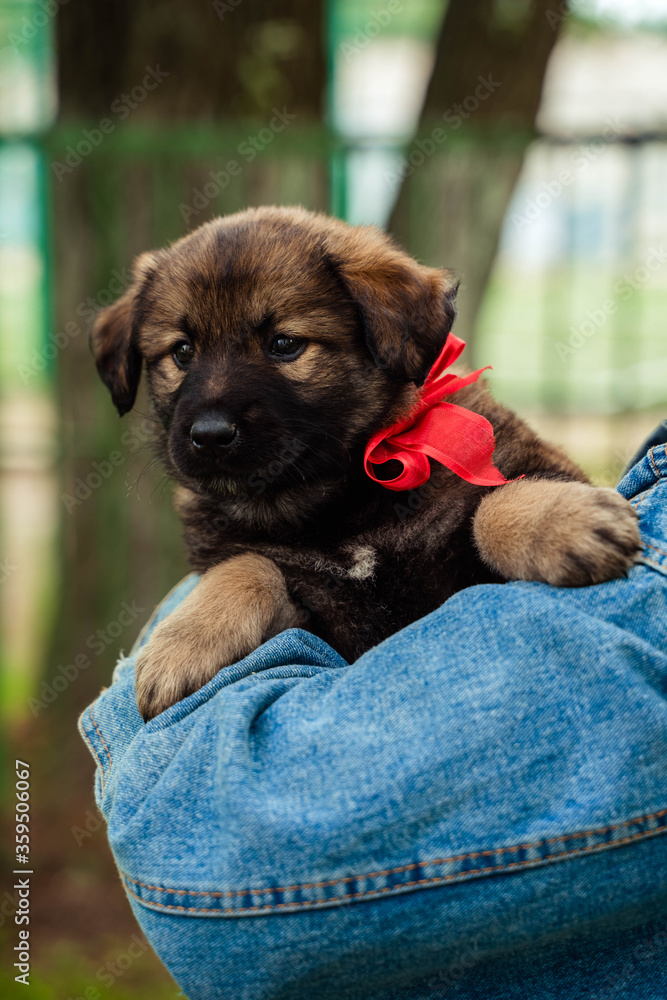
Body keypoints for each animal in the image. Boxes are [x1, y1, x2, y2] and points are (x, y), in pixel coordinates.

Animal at [90, 205, 640, 720]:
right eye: (182, 352)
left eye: (284, 344)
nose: (209, 435)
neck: (338, 498)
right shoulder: (317, 614)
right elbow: (248, 565)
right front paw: (183, 644)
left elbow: (491, 504)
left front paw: (563, 521)